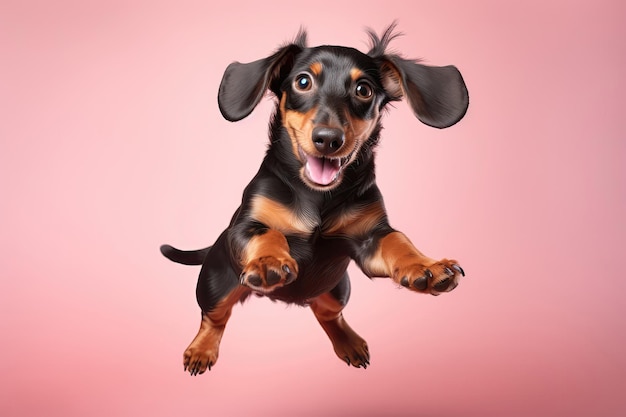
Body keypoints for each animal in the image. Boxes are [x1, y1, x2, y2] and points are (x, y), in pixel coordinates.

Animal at [161, 24, 468, 376]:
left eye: (363, 89)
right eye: (303, 81)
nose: (328, 140)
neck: (317, 195)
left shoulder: (369, 240)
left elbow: (397, 240)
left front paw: (426, 265)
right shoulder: (244, 227)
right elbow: (269, 234)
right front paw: (269, 261)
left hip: (338, 289)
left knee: (328, 314)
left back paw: (349, 342)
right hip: (216, 284)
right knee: (214, 316)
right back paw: (201, 350)